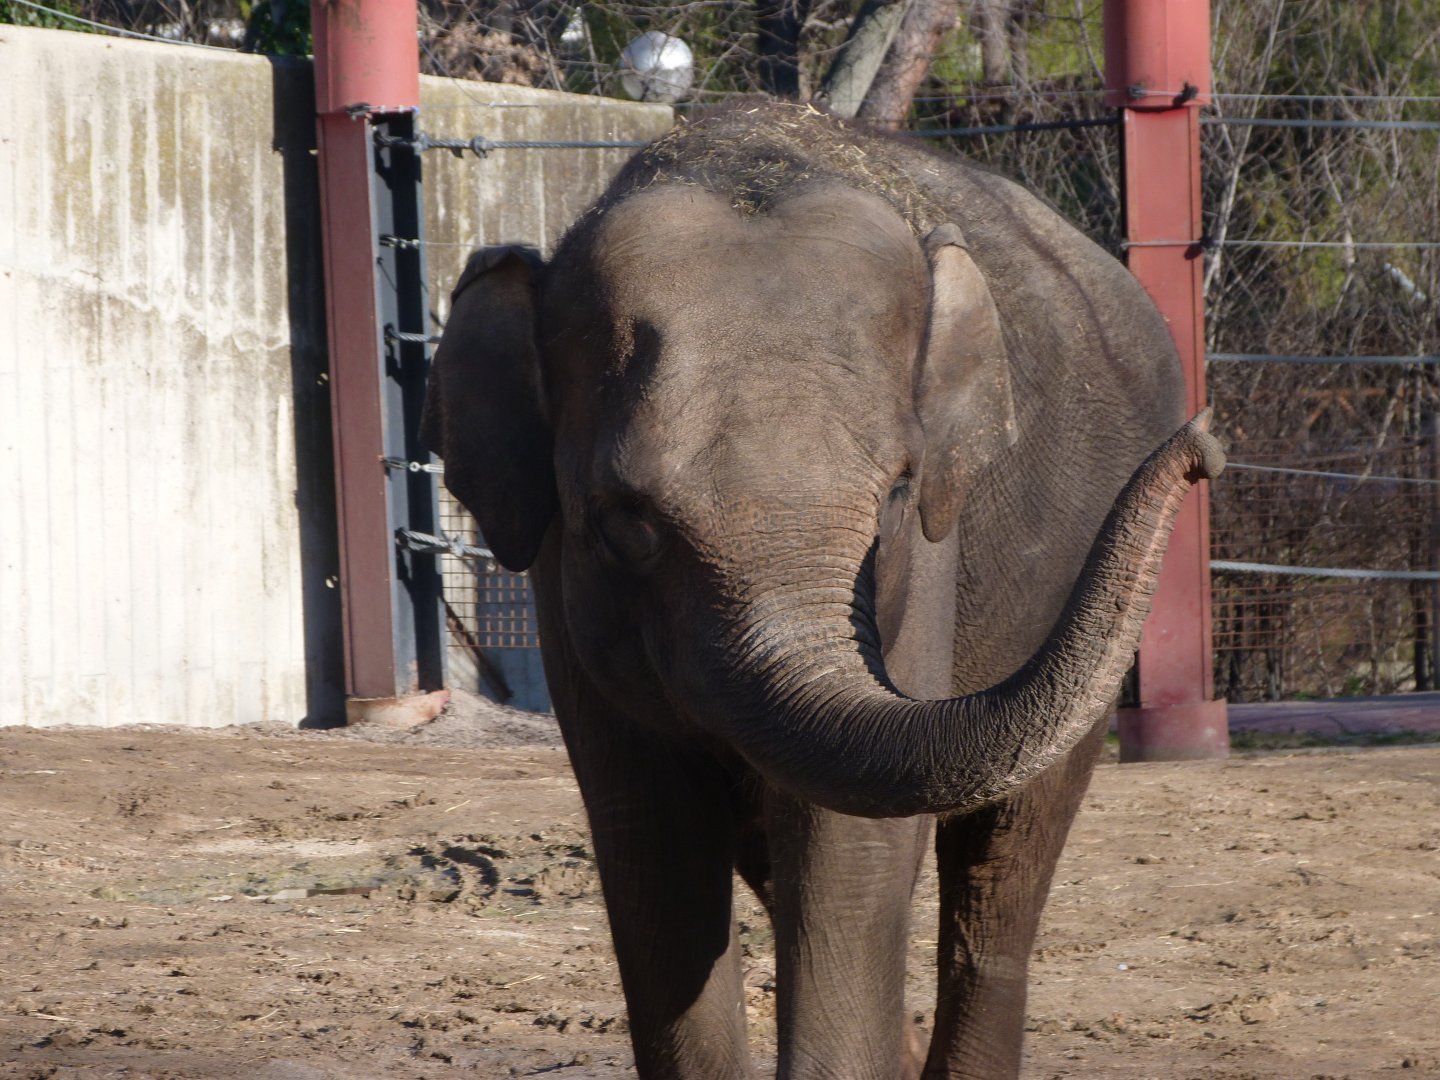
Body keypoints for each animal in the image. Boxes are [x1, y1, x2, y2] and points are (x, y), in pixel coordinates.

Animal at [422, 100, 1222, 1079]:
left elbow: (850, 850)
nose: (1205, 445)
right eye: (624, 522)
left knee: (1003, 876)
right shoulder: (560, 588)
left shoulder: (925, 568)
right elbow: (651, 843)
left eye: (896, 496)